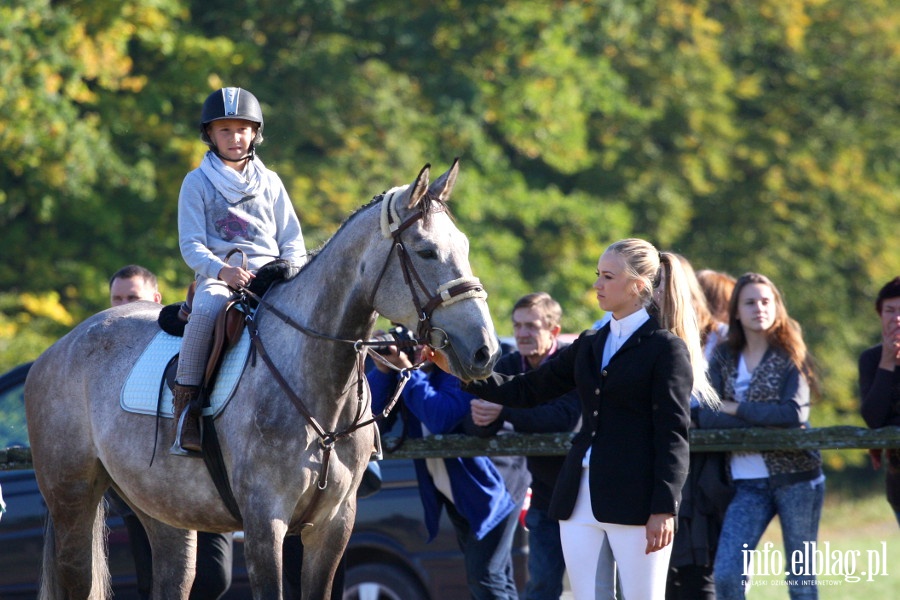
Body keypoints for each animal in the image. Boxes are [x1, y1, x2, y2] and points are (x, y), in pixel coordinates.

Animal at [24, 161, 500, 600]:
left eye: (464, 245)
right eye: (426, 252)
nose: (485, 351)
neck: (317, 387)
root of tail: (54, 352)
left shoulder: (332, 526)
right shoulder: (264, 521)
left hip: (162, 513)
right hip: (72, 502)